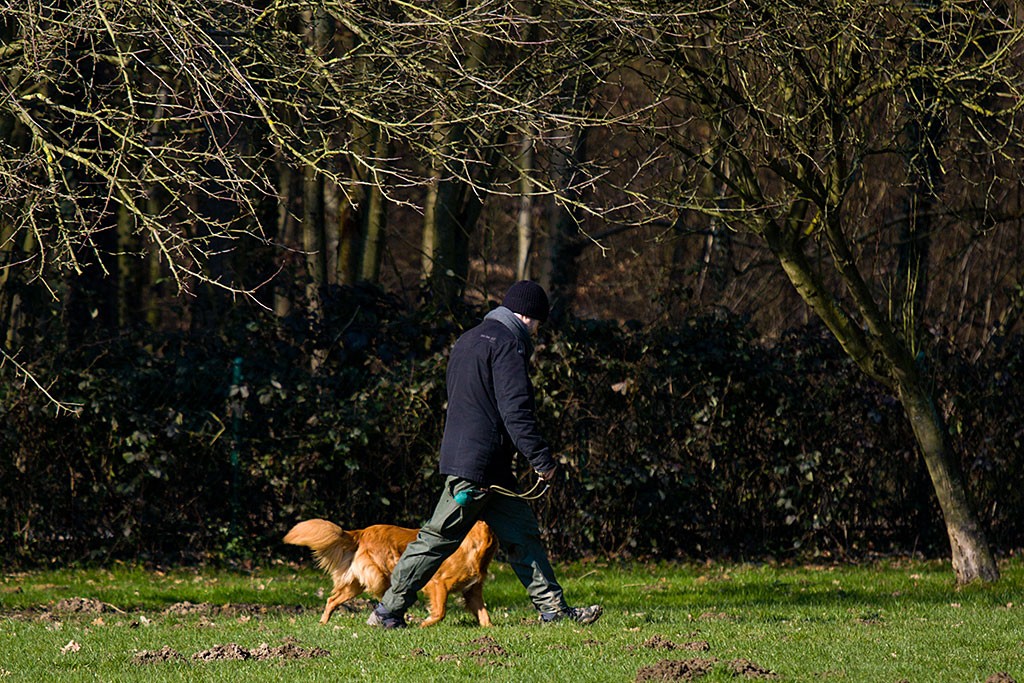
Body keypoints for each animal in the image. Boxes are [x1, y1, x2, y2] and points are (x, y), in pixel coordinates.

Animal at [284, 520, 495, 626]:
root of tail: (362, 532)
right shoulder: (438, 584)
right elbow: (440, 612)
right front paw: (425, 624)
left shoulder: (473, 591)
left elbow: (484, 614)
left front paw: (489, 630)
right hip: (382, 577)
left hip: (356, 584)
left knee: (332, 599)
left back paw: (323, 623)